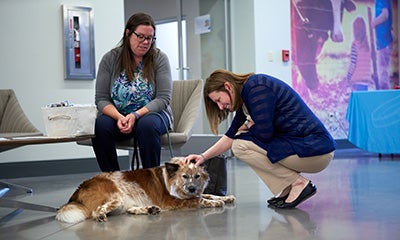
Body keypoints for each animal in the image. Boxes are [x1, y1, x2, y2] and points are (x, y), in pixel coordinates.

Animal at [56, 158, 238, 223]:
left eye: (197, 176)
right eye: (185, 176)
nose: (192, 188)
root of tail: (78, 189)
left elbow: (208, 194)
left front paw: (226, 197)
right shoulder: (171, 200)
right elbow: (199, 199)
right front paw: (215, 202)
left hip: (125, 201)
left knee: (129, 210)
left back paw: (150, 209)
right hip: (117, 197)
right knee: (97, 210)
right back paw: (100, 216)